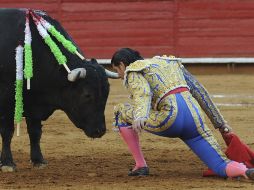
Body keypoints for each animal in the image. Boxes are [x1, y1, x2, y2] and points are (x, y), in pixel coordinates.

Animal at [0, 8, 111, 171]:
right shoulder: (7, 101)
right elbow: (7, 131)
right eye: (87, 95)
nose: (100, 131)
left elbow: (35, 132)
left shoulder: (35, 102)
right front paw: (7, 163)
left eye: (106, 94)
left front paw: (38, 160)